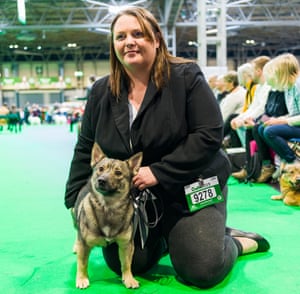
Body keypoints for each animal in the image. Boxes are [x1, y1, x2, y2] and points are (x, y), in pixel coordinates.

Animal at [72, 142, 143, 290]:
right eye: (100, 169)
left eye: (118, 173)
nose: (101, 180)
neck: (108, 208)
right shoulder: (84, 245)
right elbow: (82, 263)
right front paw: (82, 279)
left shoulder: (126, 245)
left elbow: (126, 264)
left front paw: (129, 279)